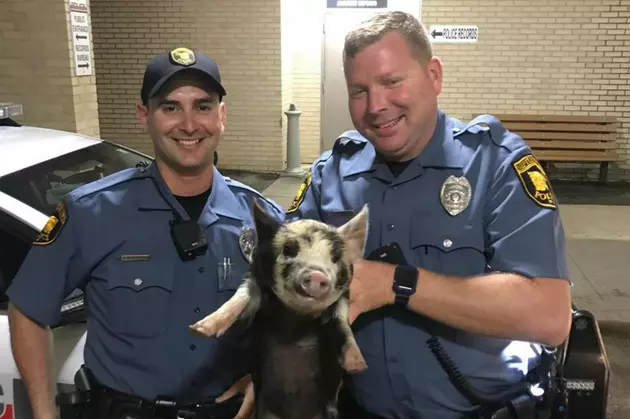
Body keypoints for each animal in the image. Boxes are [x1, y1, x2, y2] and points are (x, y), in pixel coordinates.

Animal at [190, 201, 372, 419]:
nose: (317, 275)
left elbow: (343, 326)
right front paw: (198, 329)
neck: (296, 317)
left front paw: (358, 364)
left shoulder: (343, 301)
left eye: (336, 257)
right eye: (288, 249)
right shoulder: (255, 278)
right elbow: (240, 298)